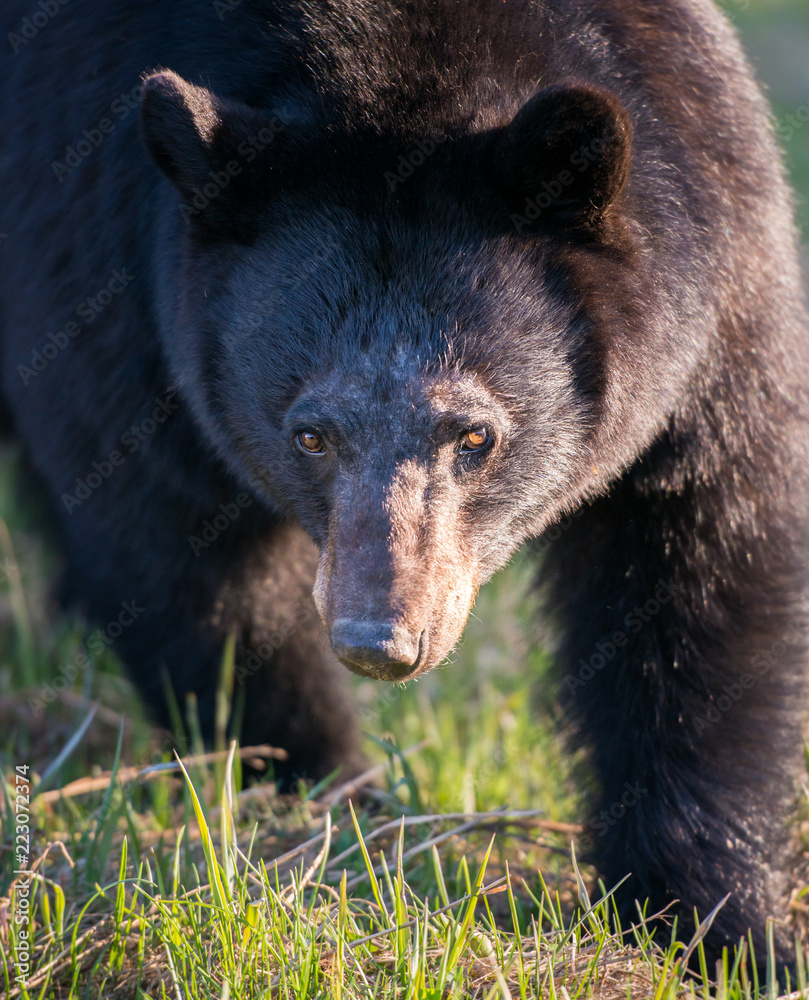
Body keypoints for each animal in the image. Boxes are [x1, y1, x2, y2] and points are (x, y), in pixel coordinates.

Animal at [1, 0, 808, 972]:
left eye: (475, 434)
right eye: (309, 433)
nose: (380, 640)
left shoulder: (714, 254)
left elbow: (702, 559)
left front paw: (720, 925)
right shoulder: (98, 257)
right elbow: (176, 548)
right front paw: (331, 795)